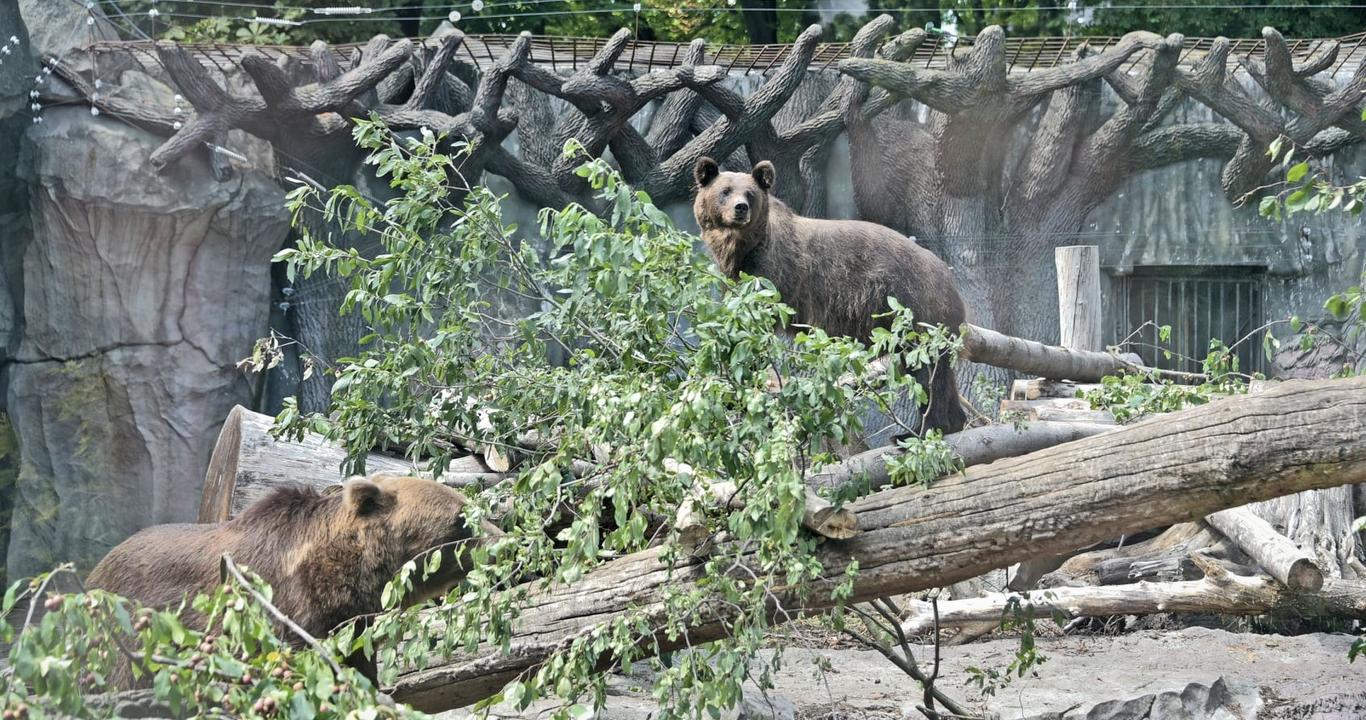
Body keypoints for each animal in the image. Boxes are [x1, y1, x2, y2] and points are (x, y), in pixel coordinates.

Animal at [693, 156, 972, 434]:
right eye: (725, 190)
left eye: (749, 193)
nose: (740, 208)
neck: (741, 250)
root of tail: (948, 277)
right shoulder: (736, 277)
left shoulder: (772, 273)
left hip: (915, 308)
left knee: (928, 373)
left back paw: (922, 429)